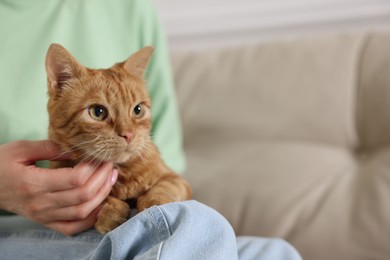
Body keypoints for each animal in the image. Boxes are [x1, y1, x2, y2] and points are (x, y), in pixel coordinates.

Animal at [45, 44, 192, 234]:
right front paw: (111, 211)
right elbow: (102, 197)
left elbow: (165, 187)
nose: (128, 134)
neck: (123, 173)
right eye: (98, 112)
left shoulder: (176, 179)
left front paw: (153, 202)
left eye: (138, 110)